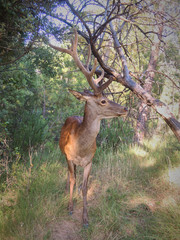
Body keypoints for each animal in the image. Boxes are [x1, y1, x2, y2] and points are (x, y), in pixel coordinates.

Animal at [49, 30, 128, 227]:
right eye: (103, 101)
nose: (125, 109)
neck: (81, 148)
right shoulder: (69, 157)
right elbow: (72, 180)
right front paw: (70, 208)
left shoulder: (90, 160)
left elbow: (85, 187)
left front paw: (85, 218)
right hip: (64, 155)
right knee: (70, 176)